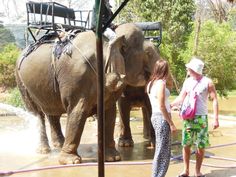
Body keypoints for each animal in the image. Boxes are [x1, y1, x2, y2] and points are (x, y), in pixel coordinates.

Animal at [15, 22, 159, 165]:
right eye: (149, 53)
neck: (109, 38)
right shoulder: (77, 78)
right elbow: (78, 111)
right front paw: (71, 162)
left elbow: (109, 112)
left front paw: (113, 158)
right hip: (22, 82)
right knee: (37, 113)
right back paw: (44, 150)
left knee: (52, 112)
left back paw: (59, 144)